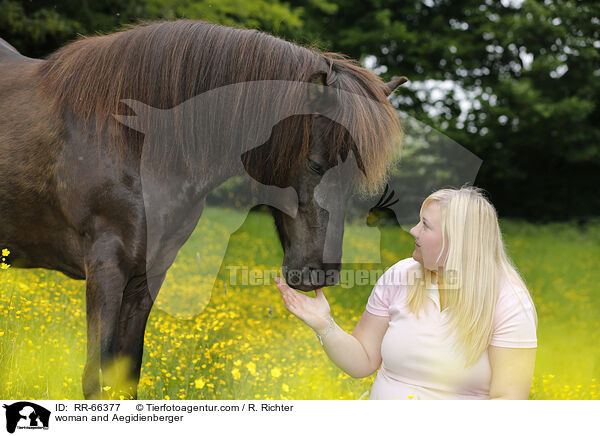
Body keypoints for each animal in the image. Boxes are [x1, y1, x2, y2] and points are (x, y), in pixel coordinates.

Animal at [0, 19, 406, 398]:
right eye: (317, 165)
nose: (319, 274)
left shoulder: (147, 276)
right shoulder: (105, 268)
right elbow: (96, 379)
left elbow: (127, 375)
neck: (132, 139)